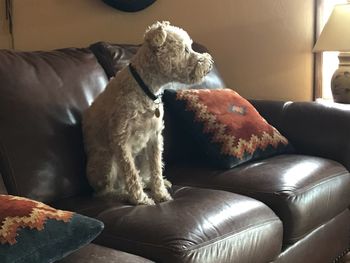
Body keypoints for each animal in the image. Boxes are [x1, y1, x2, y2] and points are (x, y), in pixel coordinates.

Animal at [82, 21, 213, 206]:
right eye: (186, 49)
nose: (209, 64)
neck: (145, 88)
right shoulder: (121, 140)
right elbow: (131, 173)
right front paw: (141, 199)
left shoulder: (155, 137)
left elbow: (156, 168)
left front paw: (161, 193)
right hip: (106, 163)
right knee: (104, 192)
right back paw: (123, 194)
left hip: (140, 157)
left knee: (143, 175)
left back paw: (152, 183)